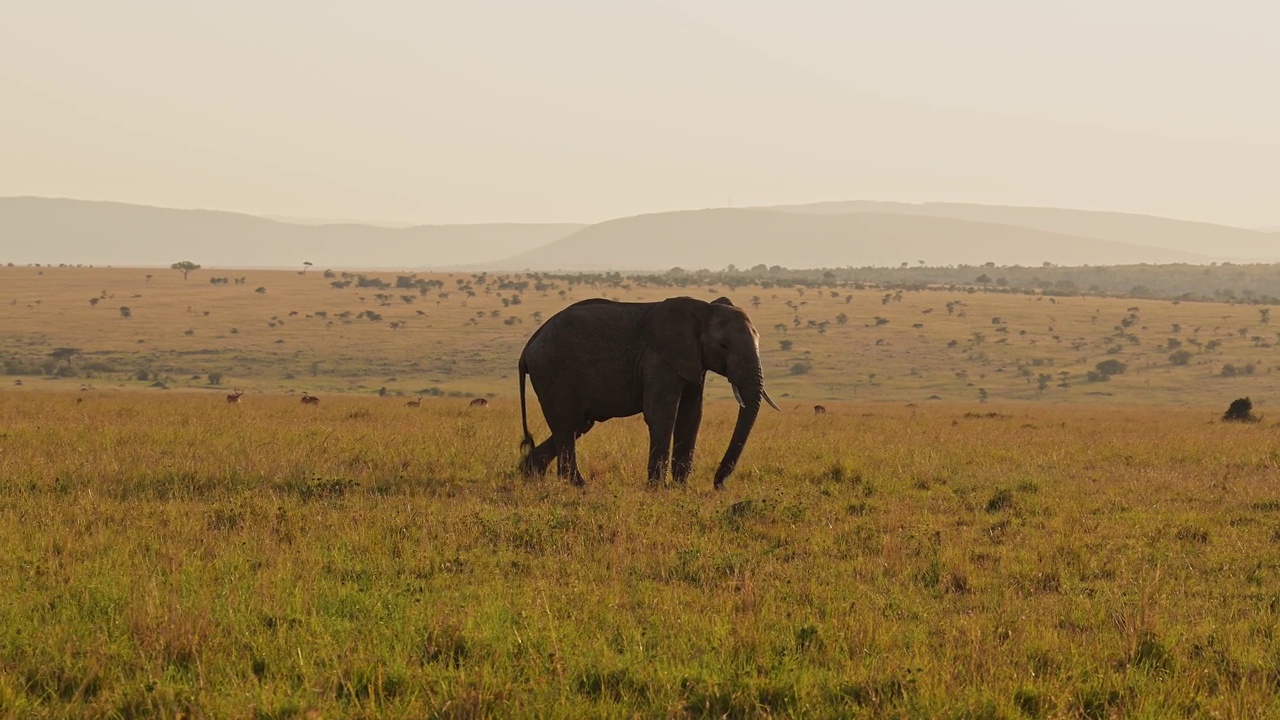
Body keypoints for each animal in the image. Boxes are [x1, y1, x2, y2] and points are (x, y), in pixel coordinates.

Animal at [517, 293, 778, 486]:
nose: (718, 484)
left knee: (577, 425)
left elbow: (691, 415)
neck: (704, 309)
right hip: (553, 371)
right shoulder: (658, 359)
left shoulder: (693, 361)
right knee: (567, 424)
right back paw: (577, 485)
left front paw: (681, 487)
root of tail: (528, 347)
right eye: (723, 346)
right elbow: (662, 415)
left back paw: (531, 476)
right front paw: (659, 488)